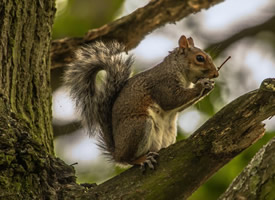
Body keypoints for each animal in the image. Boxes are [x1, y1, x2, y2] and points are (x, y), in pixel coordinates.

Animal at [64, 34, 220, 169]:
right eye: (200, 58)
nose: (216, 74)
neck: (177, 68)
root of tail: (117, 152)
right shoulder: (163, 83)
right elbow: (171, 100)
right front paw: (202, 85)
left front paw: (209, 86)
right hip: (139, 126)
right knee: (128, 159)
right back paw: (142, 159)